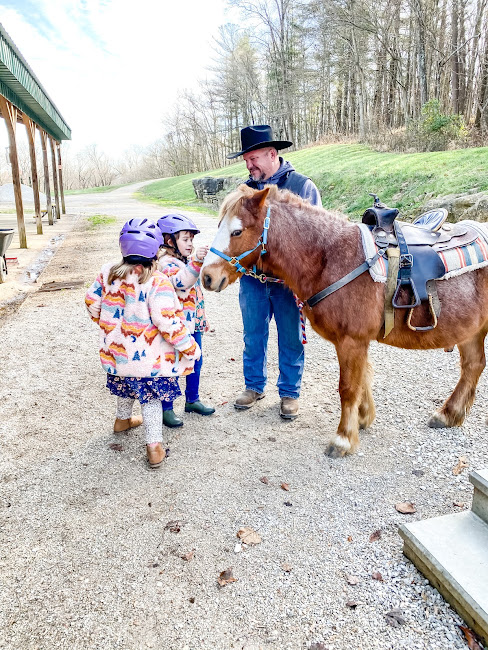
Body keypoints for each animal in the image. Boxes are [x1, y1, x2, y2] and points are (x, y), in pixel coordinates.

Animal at [201, 182, 488, 456]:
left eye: (237, 232)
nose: (207, 276)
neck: (330, 258)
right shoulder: (357, 342)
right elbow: (363, 379)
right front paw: (363, 418)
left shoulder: (352, 340)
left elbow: (349, 387)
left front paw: (343, 439)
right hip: (471, 330)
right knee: (473, 365)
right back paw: (449, 414)